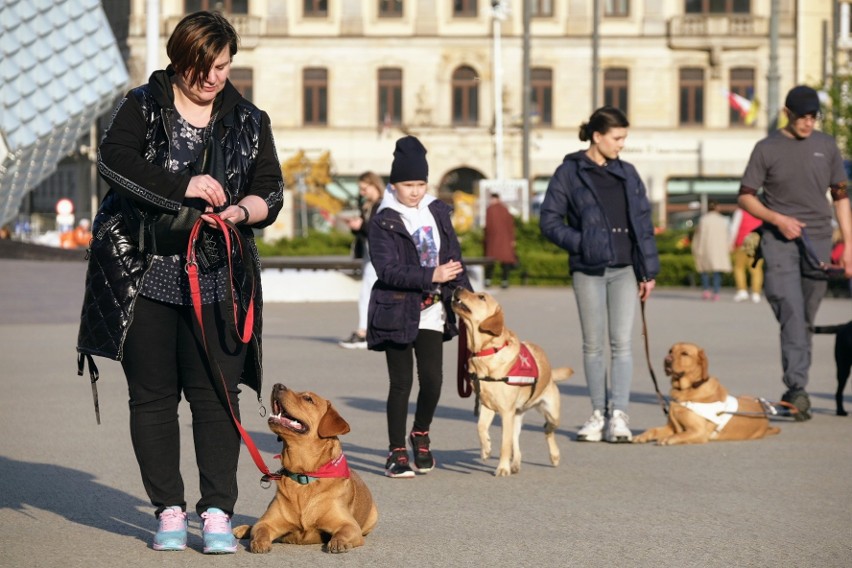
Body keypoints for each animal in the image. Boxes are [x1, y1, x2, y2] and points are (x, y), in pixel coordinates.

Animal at [233, 384, 380, 552]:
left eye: (308, 399)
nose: (277, 385)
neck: (304, 475)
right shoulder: (267, 522)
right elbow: (260, 529)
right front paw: (259, 542)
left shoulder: (349, 525)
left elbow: (343, 532)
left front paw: (338, 542)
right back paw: (243, 529)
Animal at [452, 286, 572, 478]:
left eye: (481, 297)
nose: (457, 287)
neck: (487, 353)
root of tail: (550, 374)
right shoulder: (488, 406)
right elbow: (480, 427)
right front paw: (486, 448)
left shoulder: (505, 412)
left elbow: (504, 445)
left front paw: (502, 468)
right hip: (516, 416)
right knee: (517, 441)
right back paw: (515, 463)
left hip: (552, 413)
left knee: (547, 429)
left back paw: (554, 456)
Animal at [636, 344, 784, 446]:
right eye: (670, 351)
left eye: (685, 353)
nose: (667, 359)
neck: (687, 389)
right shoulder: (672, 427)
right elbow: (653, 429)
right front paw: (642, 435)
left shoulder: (698, 431)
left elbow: (679, 435)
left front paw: (667, 439)